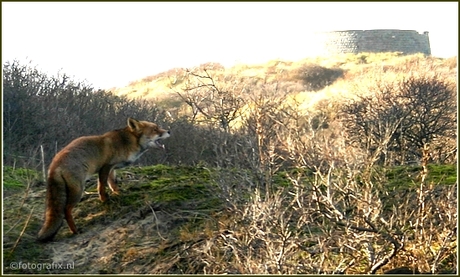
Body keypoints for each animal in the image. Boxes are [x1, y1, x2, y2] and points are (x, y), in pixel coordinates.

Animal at [36, 117, 169, 240]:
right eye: (155, 129)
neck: (126, 142)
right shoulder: (105, 166)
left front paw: (118, 194)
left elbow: (113, 184)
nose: (169, 131)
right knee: (66, 210)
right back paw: (75, 230)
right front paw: (104, 200)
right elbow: (102, 186)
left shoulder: (112, 168)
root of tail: (55, 164)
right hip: (78, 190)